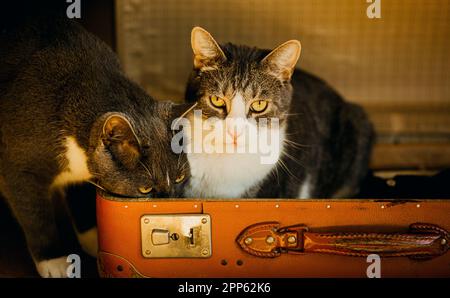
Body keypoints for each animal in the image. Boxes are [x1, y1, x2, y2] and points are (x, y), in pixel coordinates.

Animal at [0, 16, 186, 278]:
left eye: (179, 178)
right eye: (145, 190)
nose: (170, 206)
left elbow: (79, 195)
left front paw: (95, 239)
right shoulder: (20, 167)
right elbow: (36, 214)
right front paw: (53, 260)